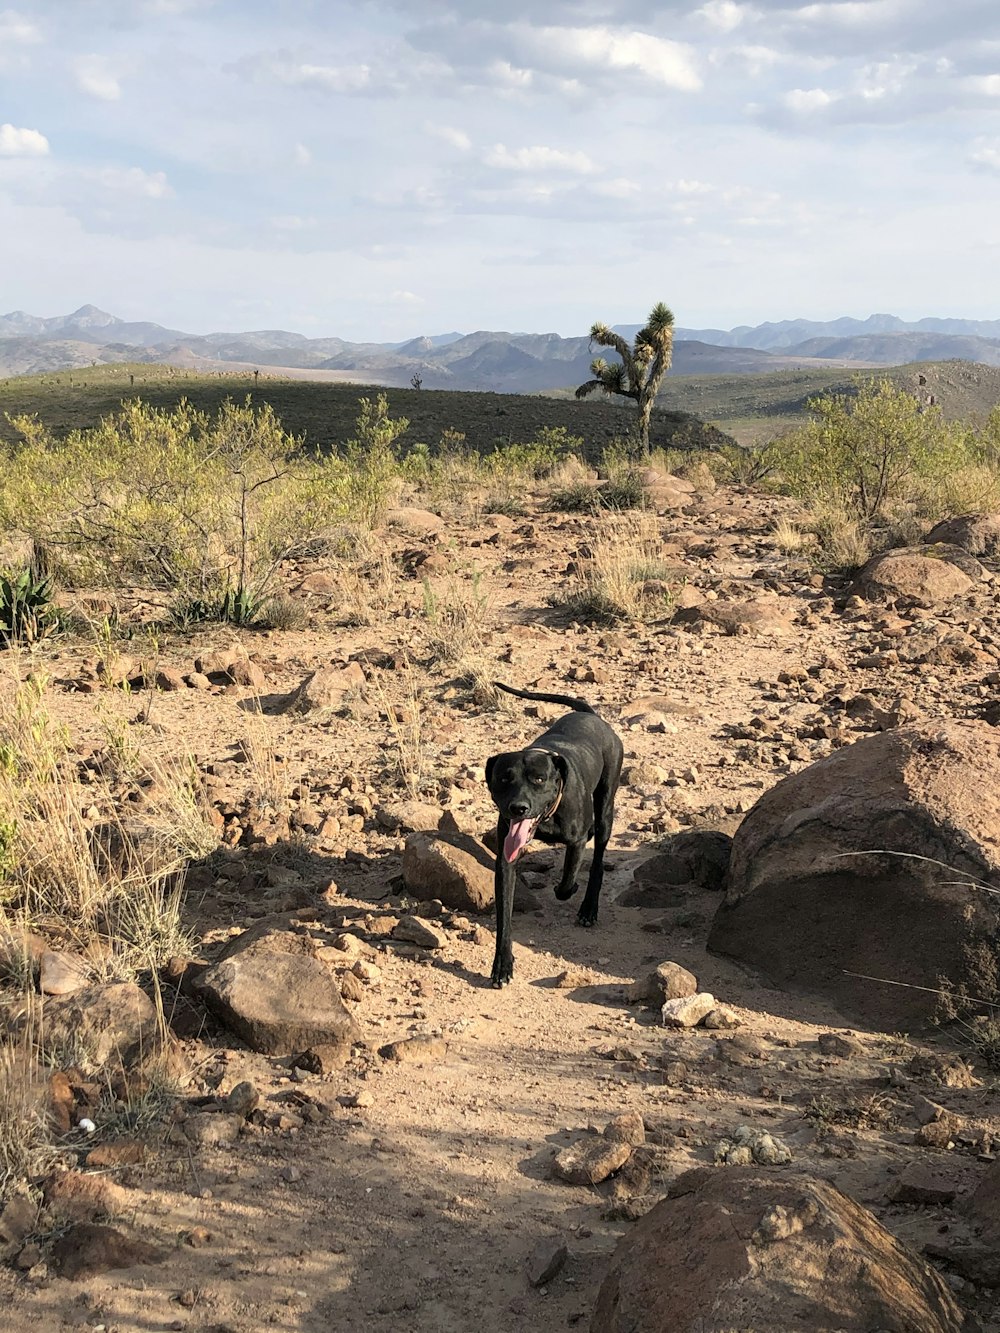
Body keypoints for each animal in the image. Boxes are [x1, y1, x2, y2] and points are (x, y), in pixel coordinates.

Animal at [488, 682, 624, 986]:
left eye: (539, 779)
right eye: (503, 779)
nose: (518, 807)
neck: (548, 816)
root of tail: (592, 716)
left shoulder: (576, 841)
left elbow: (565, 883)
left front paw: (570, 889)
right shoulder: (506, 861)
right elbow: (504, 916)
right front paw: (502, 965)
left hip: (606, 805)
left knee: (598, 860)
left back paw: (588, 908)